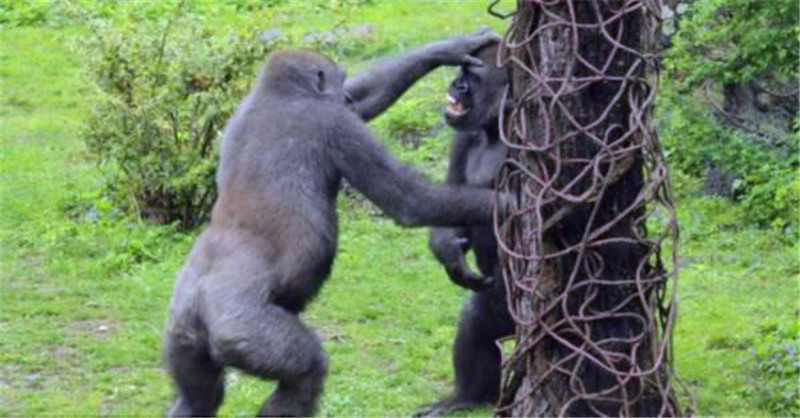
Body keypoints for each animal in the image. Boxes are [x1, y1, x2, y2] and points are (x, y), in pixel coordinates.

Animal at [164, 31, 500, 414]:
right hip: (239, 328)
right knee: (305, 371)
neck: (278, 92)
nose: (344, 95)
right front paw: (507, 201)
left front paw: (447, 48)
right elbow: (411, 200)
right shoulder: (334, 122)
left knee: (196, 399)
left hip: (181, 332)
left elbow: (366, 99)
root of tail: (196, 301)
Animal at [412, 40, 512, 418]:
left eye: (474, 79)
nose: (457, 86)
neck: (495, 129)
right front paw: (451, 254)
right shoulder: (463, 138)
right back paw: (466, 397)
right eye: (461, 72)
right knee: (475, 322)